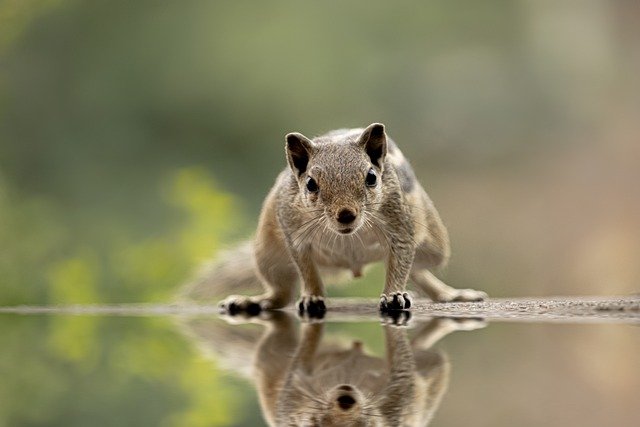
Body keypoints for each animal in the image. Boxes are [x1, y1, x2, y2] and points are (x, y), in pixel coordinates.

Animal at [214, 123, 487, 315]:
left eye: (371, 177)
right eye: (311, 184)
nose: (346, 214)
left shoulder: (400, 227)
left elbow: (401, 262)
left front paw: (394, 295)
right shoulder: (294, 234)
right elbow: (306, 270)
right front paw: (312, 296)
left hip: (435, 248)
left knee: (418, 269)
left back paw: (449, 294)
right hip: (268, 255)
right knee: (281, 294)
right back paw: (252, 301)